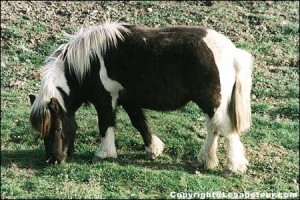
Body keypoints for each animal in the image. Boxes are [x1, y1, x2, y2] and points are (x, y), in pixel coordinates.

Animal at [28, 21, 253, 175]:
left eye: (57, 128)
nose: (54, 160)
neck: (88, 63)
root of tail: (233, 53)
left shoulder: (106, 99)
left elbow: (105, 124)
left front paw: (103, 154)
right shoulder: (128, 99)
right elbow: (139, 123)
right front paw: (153, 149)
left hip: (212, 101)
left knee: (224, 129)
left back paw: (233, 167)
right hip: (209, 103)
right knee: (213, 128)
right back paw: (204, 160)